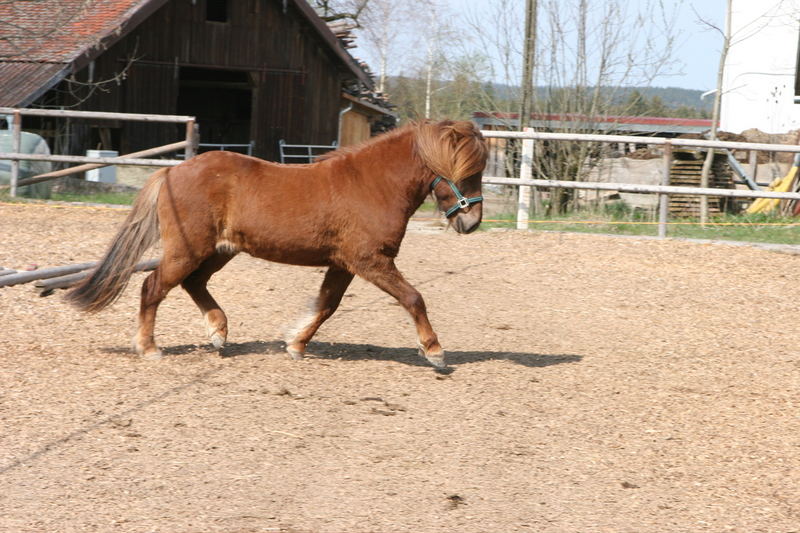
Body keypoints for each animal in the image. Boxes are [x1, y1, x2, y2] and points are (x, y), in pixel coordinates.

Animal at [67, 119, 488, 368]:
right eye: (466, 170)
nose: (471, 222)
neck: (371, 184)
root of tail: (171, 173)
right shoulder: (370, 260)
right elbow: (413, 297)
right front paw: (434, 351)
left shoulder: (344, 264)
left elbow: (327, 305)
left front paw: (296, 344)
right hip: (188, 249)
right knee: (153, 286)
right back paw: (149, 347)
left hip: (219, 251)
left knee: (193, 283)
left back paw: (218, 333)